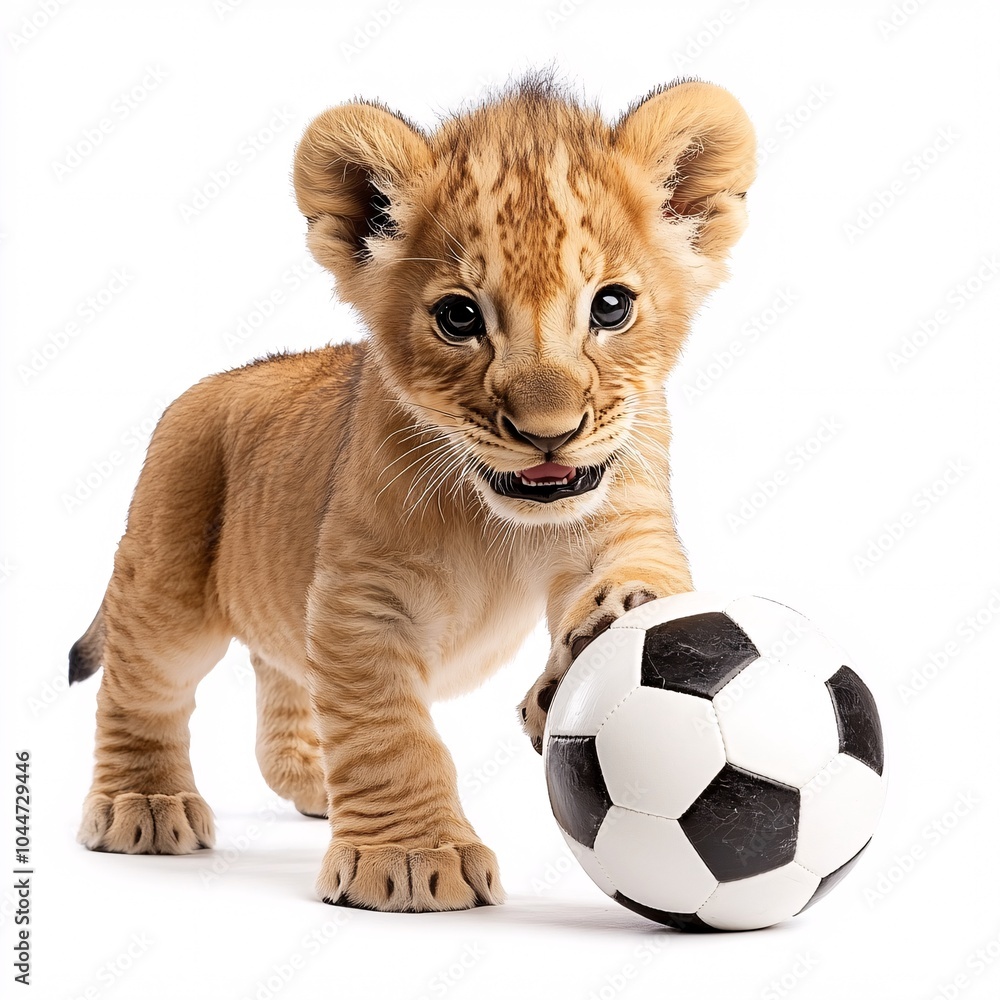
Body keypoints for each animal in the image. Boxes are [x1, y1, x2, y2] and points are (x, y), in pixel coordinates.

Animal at [69, 73, 756, 912]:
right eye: (459, 316)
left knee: (283, 670)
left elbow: (647, 580)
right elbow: (387, 731)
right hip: (167, 573)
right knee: (142, 687)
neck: (498, 515)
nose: (549, 433)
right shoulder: (362, 598)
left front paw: (598, 634)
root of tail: (214, 383)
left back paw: (314, 781)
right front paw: (408, 857)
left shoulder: (626, 515)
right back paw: (142, 804)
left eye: (610, 307)